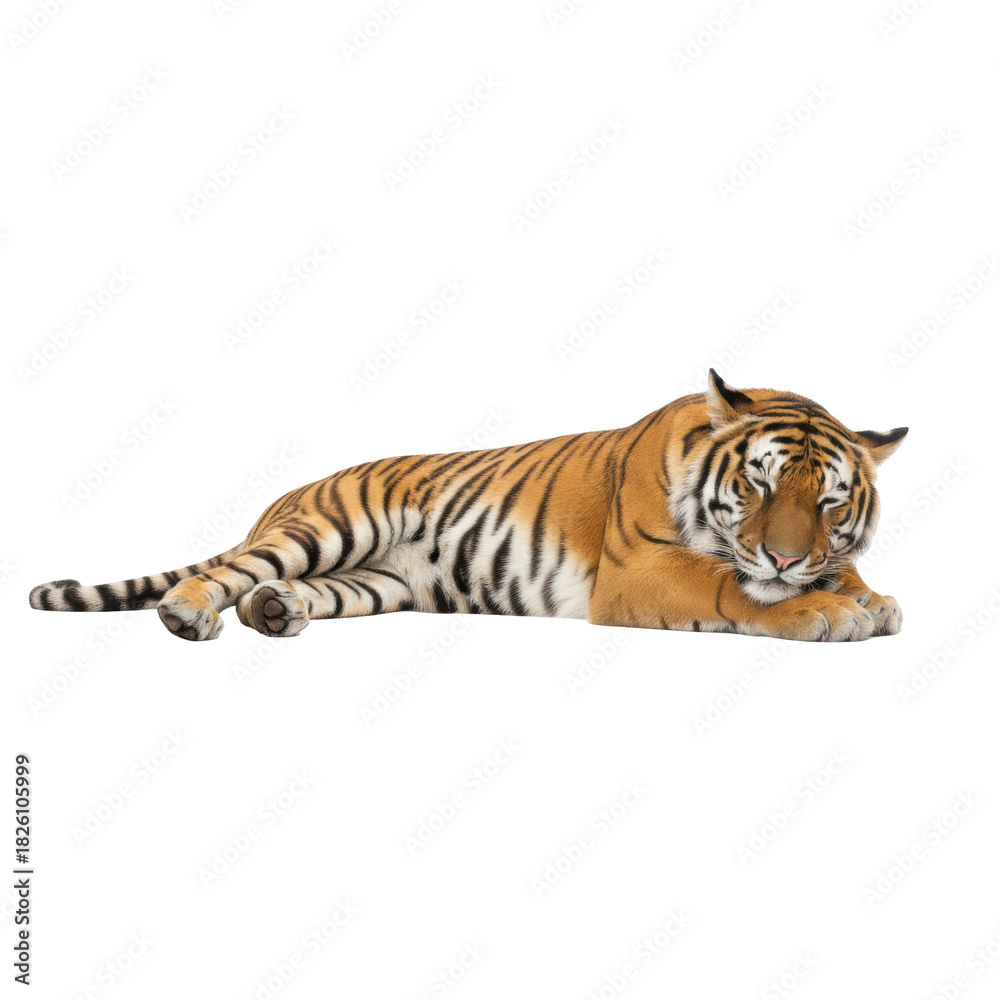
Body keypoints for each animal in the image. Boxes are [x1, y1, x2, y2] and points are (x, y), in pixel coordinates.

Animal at [29, 371, 907, 643]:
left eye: (830, 502)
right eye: (759, 484)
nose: (786, 555)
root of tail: (286, 495)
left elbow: (846, 577)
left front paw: (869, 598)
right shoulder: (640, 570)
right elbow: (729, 585)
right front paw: (824, 611)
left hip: (374, 581)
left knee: (275, 591)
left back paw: (277, 612)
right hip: (332, 528)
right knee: (225, 574)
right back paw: (187, 614)